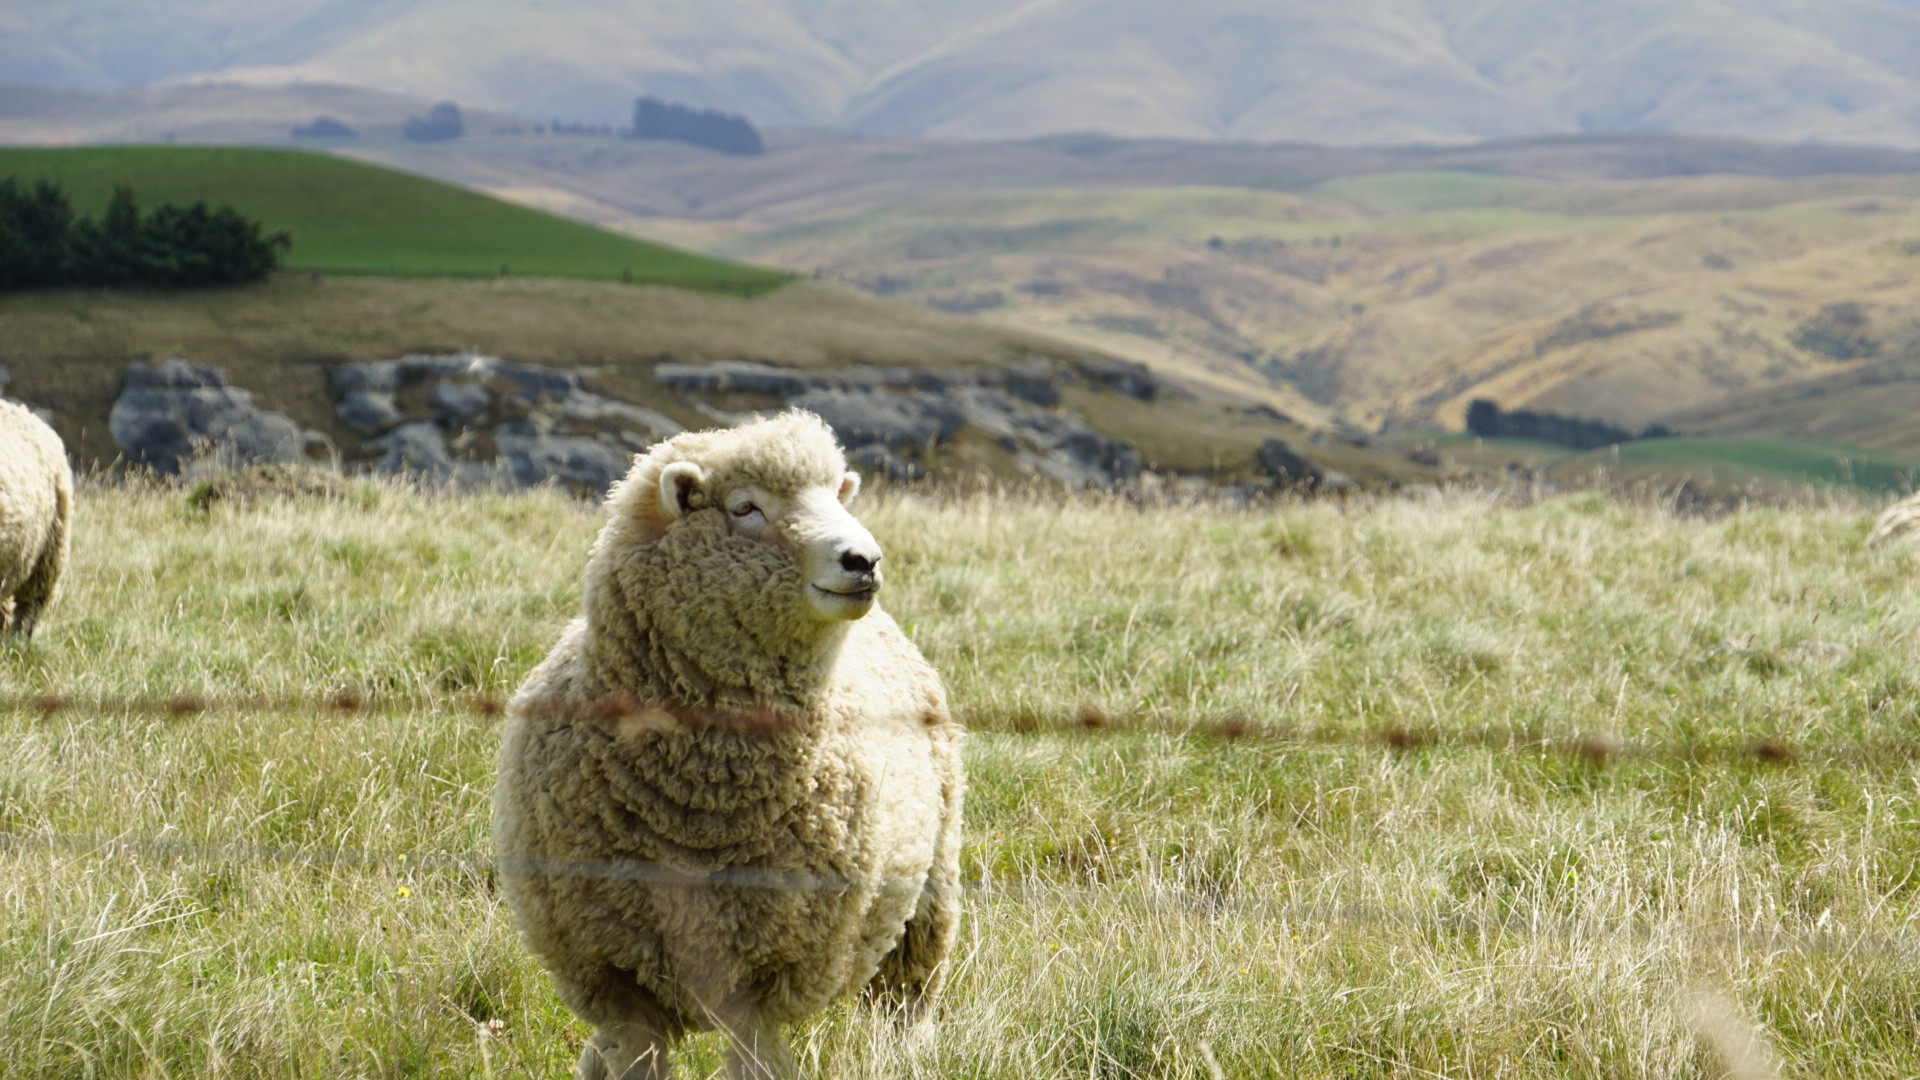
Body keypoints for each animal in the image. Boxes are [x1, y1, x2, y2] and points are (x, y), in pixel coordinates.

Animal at [494, 411, 963, 1080]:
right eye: (746, 507)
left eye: (834, 494)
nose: (864, 560)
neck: (701, 793)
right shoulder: (614, 968)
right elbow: (634, 1056)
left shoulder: (765, 973)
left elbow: (755, 1059)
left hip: (931, 887)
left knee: (905, 998)